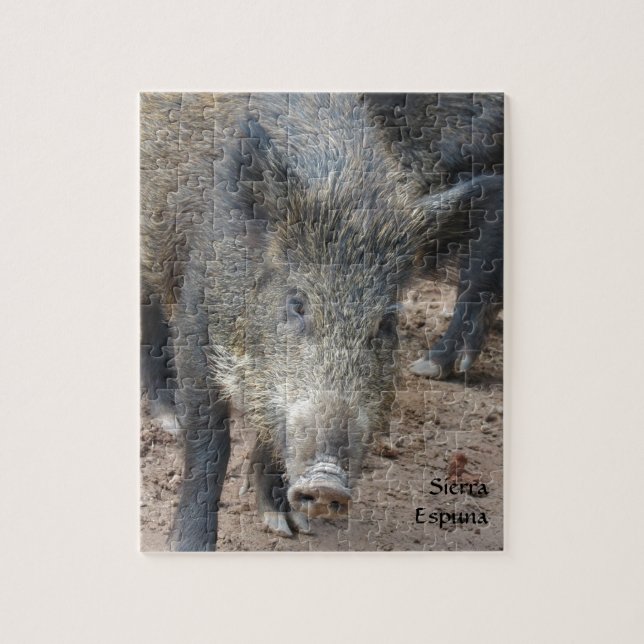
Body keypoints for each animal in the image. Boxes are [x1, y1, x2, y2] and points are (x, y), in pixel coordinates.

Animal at [140, 93, 503, 551]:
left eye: (386, 321)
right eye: (297, 303)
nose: (327, 481)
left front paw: (288, 524)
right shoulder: (196, 317)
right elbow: (210, 443)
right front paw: (187, 547)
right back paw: (167, 416)